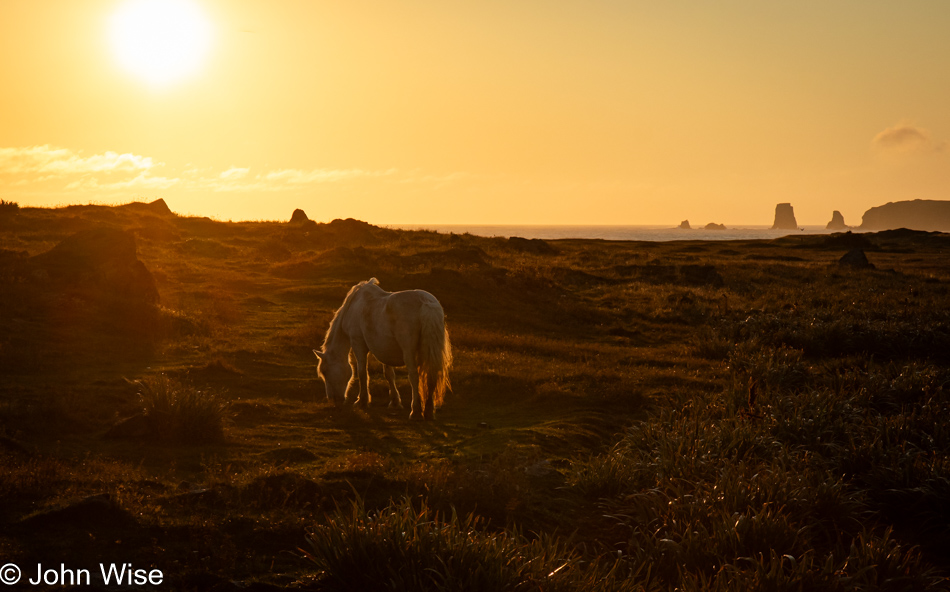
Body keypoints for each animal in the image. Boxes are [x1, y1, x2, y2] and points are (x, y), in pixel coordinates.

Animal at [314, 278, 456, 420]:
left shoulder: (358, 343)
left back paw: (415, 411)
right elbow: (389, 374)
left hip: (409, 352)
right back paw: (428, 411)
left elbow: (362, 372)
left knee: (414, 376)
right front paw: (394, 402)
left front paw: (362, 401)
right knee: (432, 374)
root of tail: (426, 303)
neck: (354, 305)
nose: (333, 399)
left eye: (325, 372)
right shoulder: (385, 350)